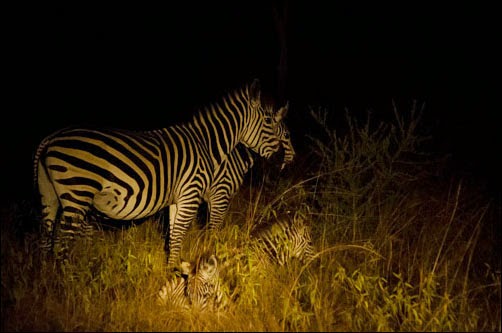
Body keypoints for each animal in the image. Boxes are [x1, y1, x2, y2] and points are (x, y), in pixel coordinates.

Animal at [34, 78, 284, 268]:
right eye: (268, 121)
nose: (282, 159)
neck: (205, 144)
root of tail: (51, 138)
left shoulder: (178, 199)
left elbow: (173, 235)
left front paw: (170, 269)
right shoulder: (190, 194)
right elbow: (179, 234)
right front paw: (174, 274)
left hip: (50, 194)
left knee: (47, 236)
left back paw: (49, 278)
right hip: (77, 193)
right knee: (63, 241)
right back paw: (68, 278)